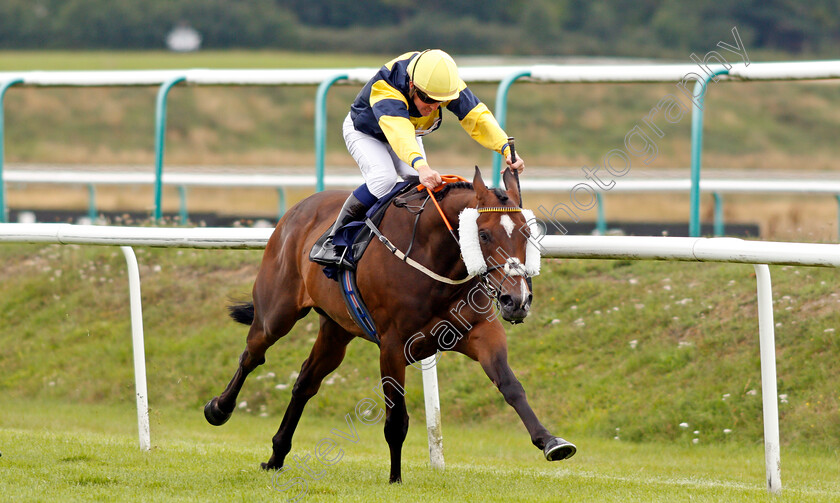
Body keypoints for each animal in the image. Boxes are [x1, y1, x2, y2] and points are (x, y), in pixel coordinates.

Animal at [203, 168, 576, 484]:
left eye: (526, 233)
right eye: (483, 234)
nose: (517, 300)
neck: (436, 260)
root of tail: (297, 210)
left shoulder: (481, 332)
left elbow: (511, 386)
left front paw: (550, 441)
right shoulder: (394, 345)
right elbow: (396, 419)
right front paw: (395, 478)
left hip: (336, 331)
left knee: (306, 382)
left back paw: (277, 455)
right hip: (276, 313)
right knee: (252, 355)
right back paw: (219, 409)